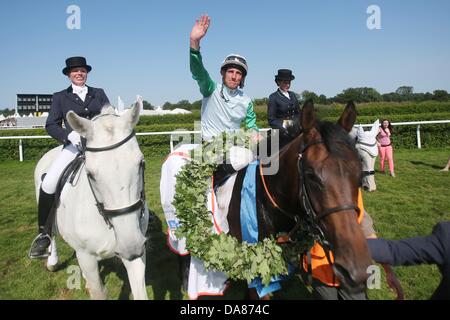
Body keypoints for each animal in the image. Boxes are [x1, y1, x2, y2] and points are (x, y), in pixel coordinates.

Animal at [34, 99, 149, 298]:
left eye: (141, 163)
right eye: (90, 174)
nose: (131, 246)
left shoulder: (136, 252)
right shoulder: (86, 256)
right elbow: (98, 292)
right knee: (51, 232)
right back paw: (52, 260)